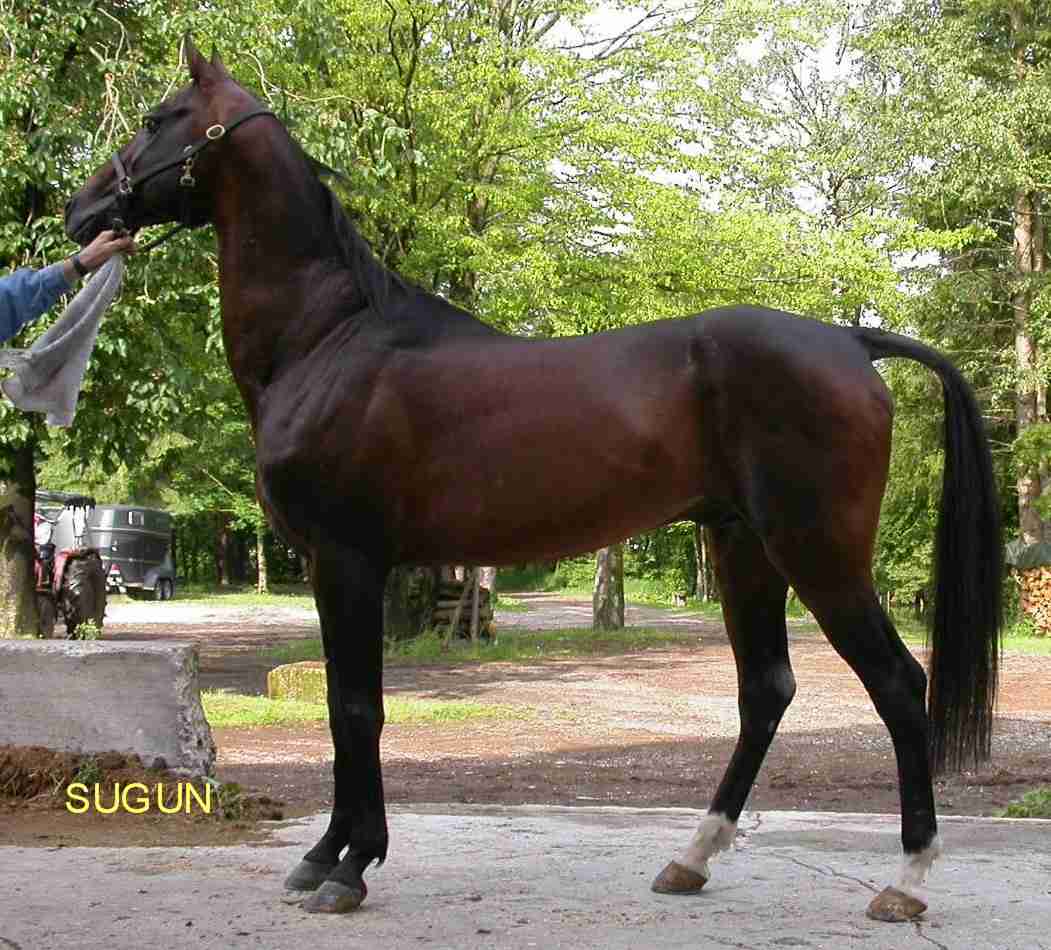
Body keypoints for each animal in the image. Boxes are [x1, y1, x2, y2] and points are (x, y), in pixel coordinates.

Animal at [63, 40, 1000, 924]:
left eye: (158, 117)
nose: (82, 211)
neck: (329, 337)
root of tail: (851, 342)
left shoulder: (345, 561)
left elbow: (355, 707)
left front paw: (348, 866)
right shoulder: (347, 567)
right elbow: (341, 704)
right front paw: (324, 855)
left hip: (818, 553)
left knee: (895, 684)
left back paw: (904, 880)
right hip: (743, 550)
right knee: (765, 691)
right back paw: (690, 859)